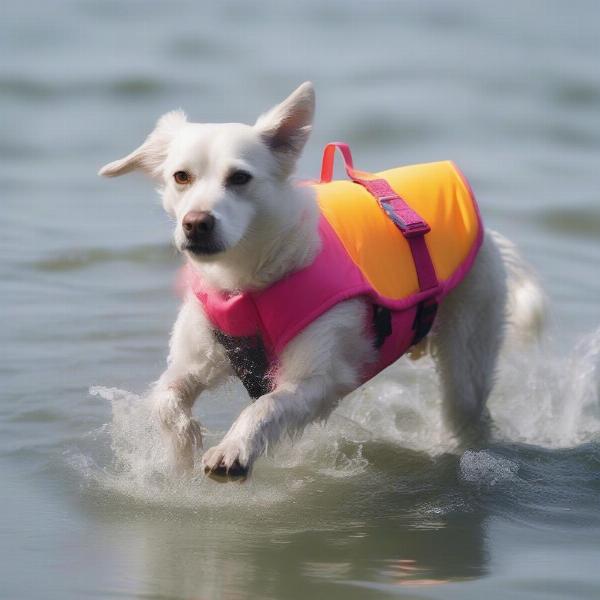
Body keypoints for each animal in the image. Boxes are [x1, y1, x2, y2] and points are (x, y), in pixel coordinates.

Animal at [101, 82, 548, 480]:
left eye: (240, 178)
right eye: (181, 177)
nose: (196, 224)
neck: (249, 280)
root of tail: (488, 235)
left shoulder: (316, 379)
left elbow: (264, 407)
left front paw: (233, 448)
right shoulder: (194, 361)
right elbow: (165, 398)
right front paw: (182, 449)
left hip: (468, 350)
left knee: (467, 411)